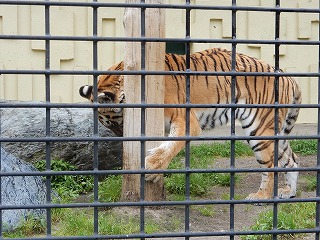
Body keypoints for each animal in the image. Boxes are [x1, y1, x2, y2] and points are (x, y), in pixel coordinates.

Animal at [79, 47, 302, 201]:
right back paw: (287, 192)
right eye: (109, 127)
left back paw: (261, 196)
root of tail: (288, 77)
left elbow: (171, 145)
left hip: (259, 129)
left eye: (117, 124)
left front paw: (151, 166)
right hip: (272, 131)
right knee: (292, 159)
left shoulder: (185, 120)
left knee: (271, 165)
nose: (122, 139)